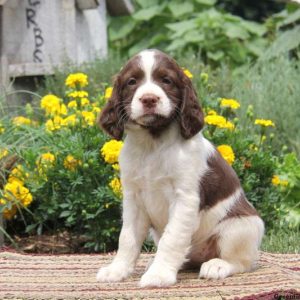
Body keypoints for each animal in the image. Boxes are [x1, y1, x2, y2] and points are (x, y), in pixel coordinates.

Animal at [96, 49, 264, 288]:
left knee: (242, 261)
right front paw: (117, 270)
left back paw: (217, 265)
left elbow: (172, 238)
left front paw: (159, 276)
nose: (149, 99)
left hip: (241, 226)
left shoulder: (185, 198)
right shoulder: (133, 198)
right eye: (132, 82)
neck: (153, 144)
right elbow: (127, 237)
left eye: (166, 80)